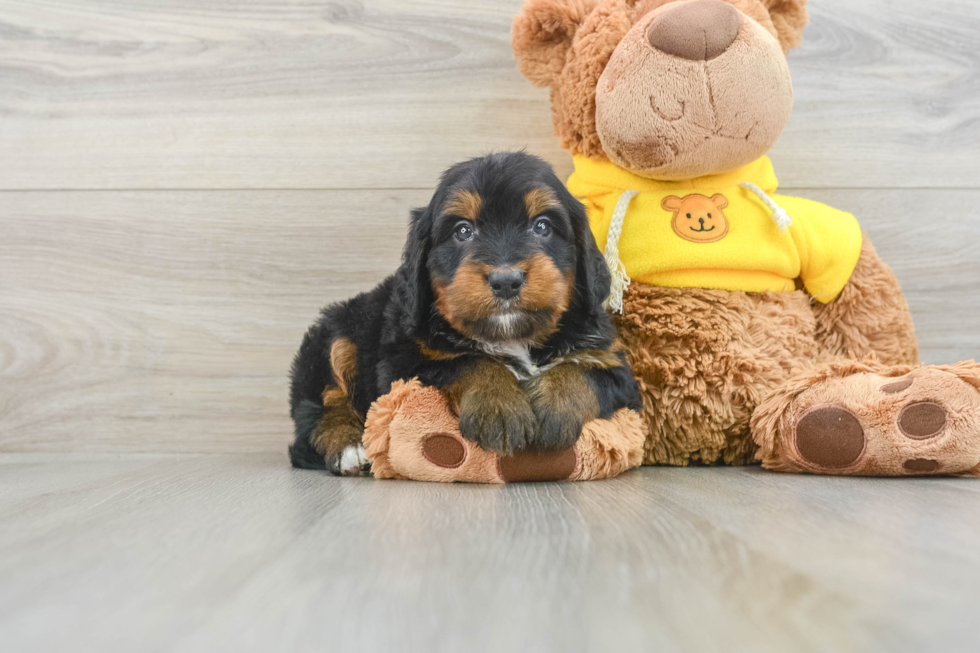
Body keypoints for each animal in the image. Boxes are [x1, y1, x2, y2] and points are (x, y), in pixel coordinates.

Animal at [290, 155, 644, 476]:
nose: (506, 280)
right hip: (332, 337)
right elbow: (469, 361)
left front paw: (554, 408)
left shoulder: (611, 362)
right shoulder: (402, 362)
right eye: (463, 231)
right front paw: (498, 407)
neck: (513, 337)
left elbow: (581, 372)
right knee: (320, 406)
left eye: (542, 226)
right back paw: (348, 447)